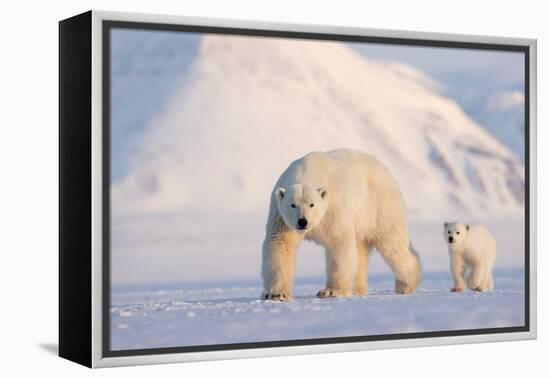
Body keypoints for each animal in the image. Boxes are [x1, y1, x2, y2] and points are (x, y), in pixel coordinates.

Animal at [262, 149, 422, 300]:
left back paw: (406, 284)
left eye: (312, 204)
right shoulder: (281, 216)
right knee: (360, 250)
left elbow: (339, 242)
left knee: (392, 242)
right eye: (293, 205)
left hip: (380, 204)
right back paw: (357, 289)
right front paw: (276, 294)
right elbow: (280, 244)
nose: (303, 221)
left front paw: (330, 291)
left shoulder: (334, 207)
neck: (307, 169)